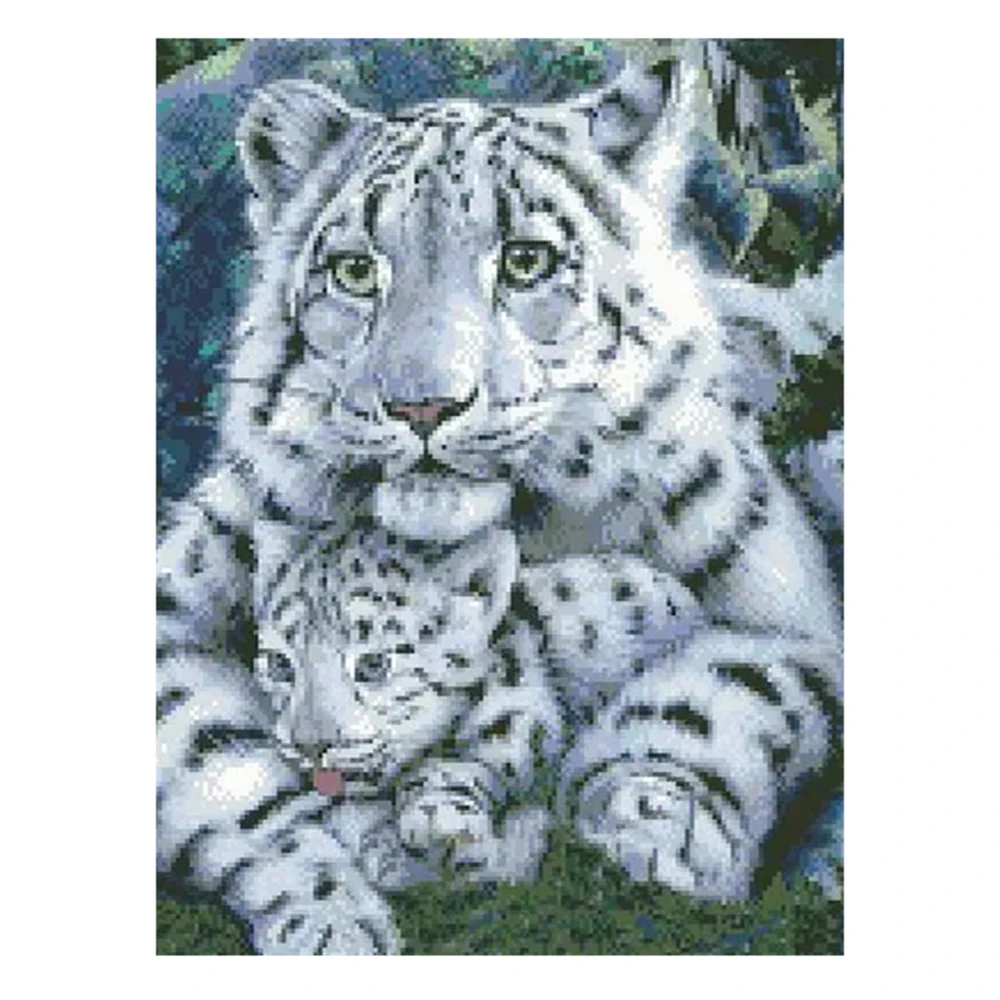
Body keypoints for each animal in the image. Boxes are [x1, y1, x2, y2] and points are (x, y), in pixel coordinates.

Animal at [156, 50, 843, 955]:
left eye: (526, 261)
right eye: (355, 270)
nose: (422, 405)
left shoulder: (794, 624)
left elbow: (721, 689)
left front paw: (655, 828)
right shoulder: (171, 624)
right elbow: (234, 775)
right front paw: (336, 915)